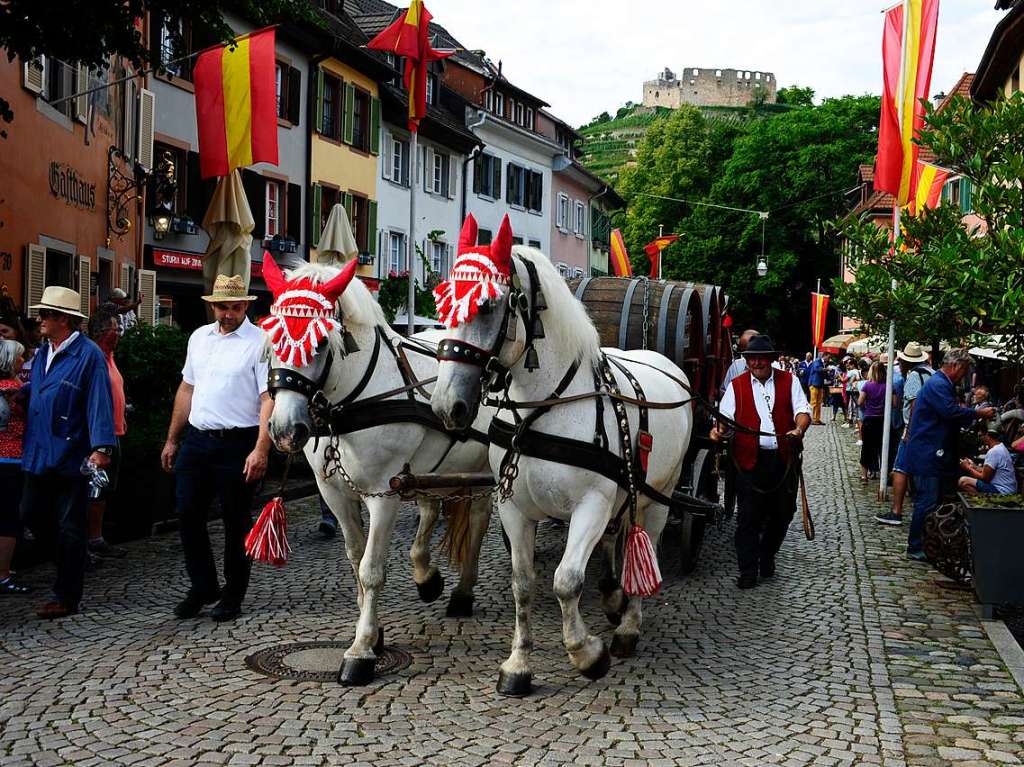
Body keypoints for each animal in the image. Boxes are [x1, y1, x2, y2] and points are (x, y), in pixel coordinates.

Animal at [260, 256, 491, 684]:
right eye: (272, 338)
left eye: (320, 342)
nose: (284, 430)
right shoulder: (334, 492)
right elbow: (354, 555)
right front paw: (374, 630)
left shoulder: (383, 494)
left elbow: (370, 568)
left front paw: (362, 648)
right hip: (427, 473)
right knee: (429, 511)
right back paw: (426, 576)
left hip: (484, 472)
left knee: (479, 522)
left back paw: (463, 592)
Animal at [428, 218, 692, 696]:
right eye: (445, 303)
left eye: (488, 305)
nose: (445, 406)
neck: (545, 407)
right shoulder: (513, 507)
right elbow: (524, 584)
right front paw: (518, 665)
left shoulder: (591, 505)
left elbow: (566, 581)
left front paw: (586, 653)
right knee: (616, 540)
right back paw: (612, 595)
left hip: (658, 495)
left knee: (645, 543)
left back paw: (629, 624)